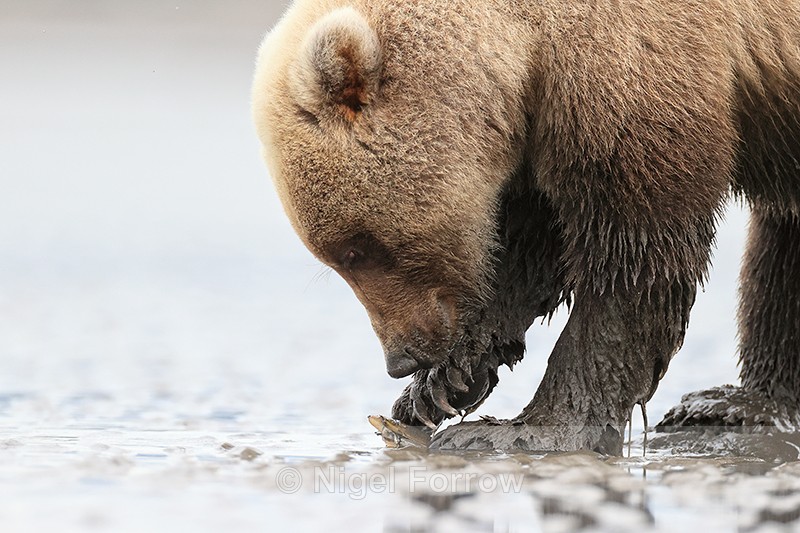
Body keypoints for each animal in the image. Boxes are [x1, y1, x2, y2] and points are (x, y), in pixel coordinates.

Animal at [252, 0, 800, 453]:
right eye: (335, 259)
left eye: (356, 250)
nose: (400, 359)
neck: (527, 43)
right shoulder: (540, 131)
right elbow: (531, 251)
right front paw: (439, 387)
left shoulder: (635, 77)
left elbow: (632, 259)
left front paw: (531, 426)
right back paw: (740, 403)